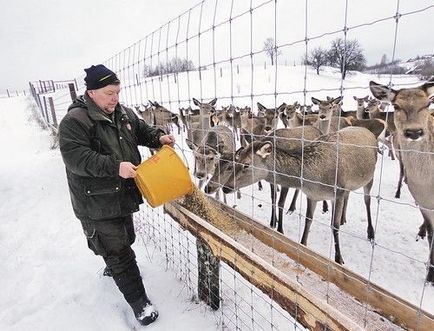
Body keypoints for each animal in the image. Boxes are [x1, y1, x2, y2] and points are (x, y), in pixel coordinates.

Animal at [220, 126, 380, 266]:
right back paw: (343, 219)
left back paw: (370, 232)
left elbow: (333, 226)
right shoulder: (312, 195)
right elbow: (308, 220)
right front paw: (303, 245)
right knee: (349, 196)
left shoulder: (339, 191)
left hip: (370, 177)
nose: (226, 187)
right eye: (236, 161)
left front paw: (339, 259)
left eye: (246, 164)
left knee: (367, 200)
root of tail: (370, 133)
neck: (315, 177)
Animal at [370, 79, 434, 284]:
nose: (414, 132)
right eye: (396, 105)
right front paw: (430, 276)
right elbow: (432, 236)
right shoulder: (424, 202)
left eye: (427, 103)